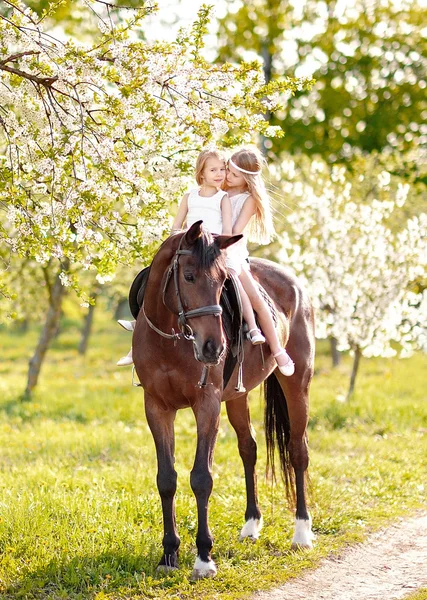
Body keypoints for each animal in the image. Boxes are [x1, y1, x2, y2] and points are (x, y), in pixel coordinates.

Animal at [134, 221, 318, 580]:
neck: (169, 338)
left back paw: (302, 532)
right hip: (237, 397)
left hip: (297, 383)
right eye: (188, 275)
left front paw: (204, 557)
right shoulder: (157, 408)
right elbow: (166, 479)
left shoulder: (207, 405)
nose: (213, 347)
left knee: (297, 451)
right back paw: (251, 525)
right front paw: (168, 555)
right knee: (249, 448)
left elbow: (201, 478)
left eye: (222, 282)